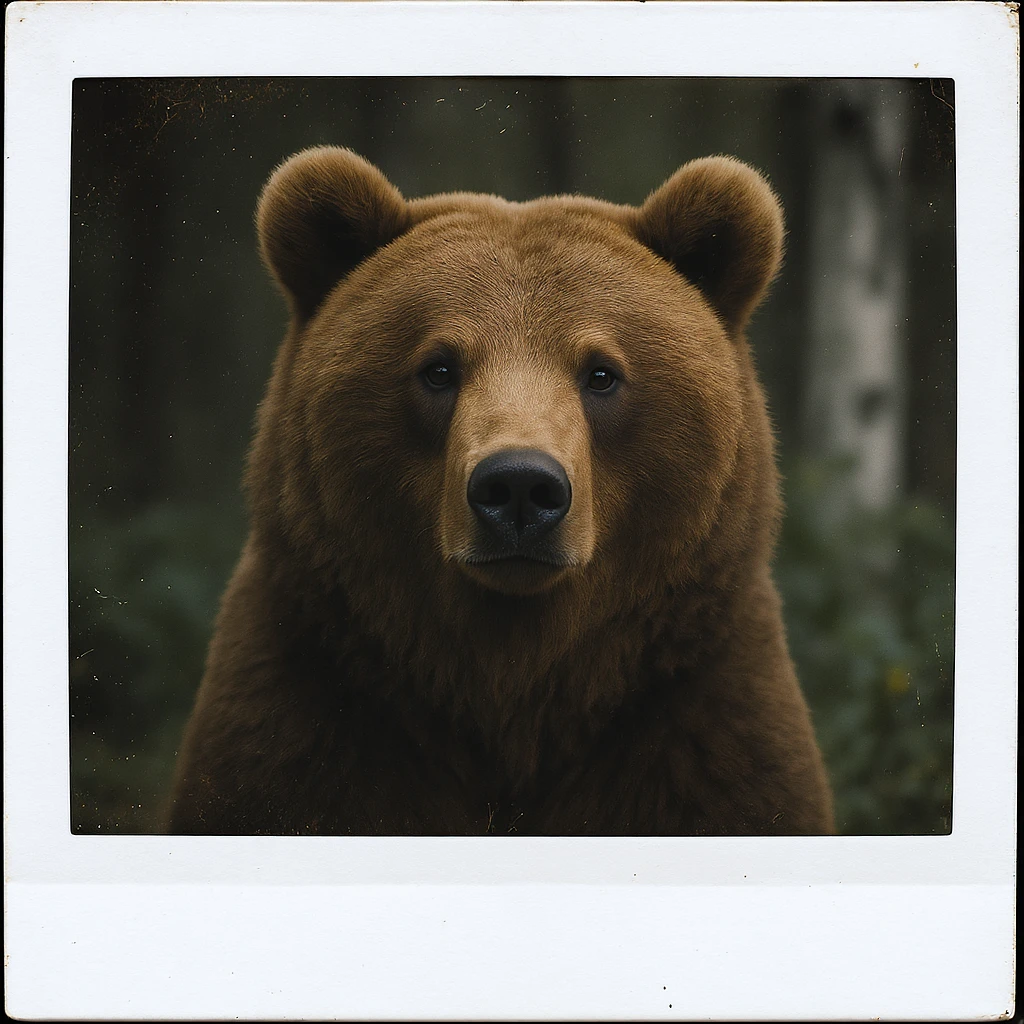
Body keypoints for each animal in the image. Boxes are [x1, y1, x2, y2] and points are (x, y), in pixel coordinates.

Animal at [166, 146, 834, 836]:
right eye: (438, 368)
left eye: (601, 373)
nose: (519, 485)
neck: (511, 695)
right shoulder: (310, 700)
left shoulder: (697, 709)